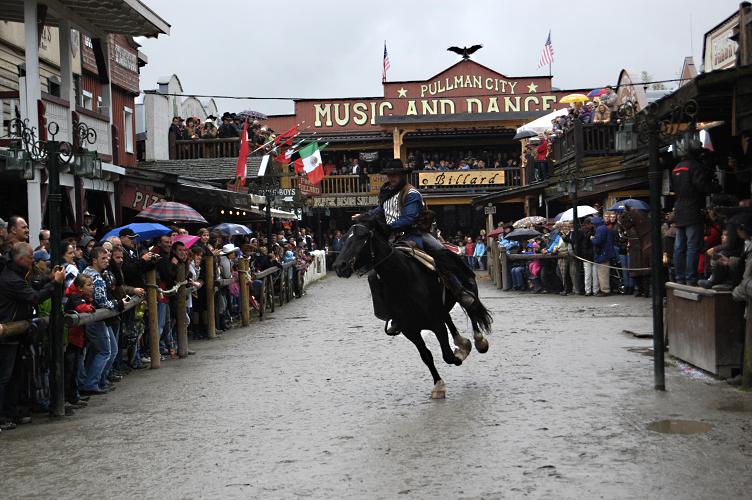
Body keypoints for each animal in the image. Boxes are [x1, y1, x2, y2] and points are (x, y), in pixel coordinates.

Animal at [334, 213, 494, 400]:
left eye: (362, 237)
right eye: (345, 237)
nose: (339, 266)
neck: (403, 279)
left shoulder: (436, 323)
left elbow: (447, 355)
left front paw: (461, 353)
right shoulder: (410, 330)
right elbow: (426, 356)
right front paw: (438, 384)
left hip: (469, 289)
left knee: (471, 308)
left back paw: (479, 341)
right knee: (451, 320)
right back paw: (462, 342)